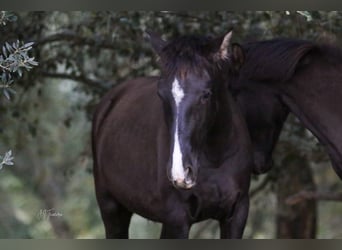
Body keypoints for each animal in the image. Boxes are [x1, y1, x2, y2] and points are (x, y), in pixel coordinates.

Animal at [92, 31, 252, 238]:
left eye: (206, 94)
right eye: (161, 95)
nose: (180, 173)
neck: (216, 160)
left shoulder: (236, 215)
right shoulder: (176, 219)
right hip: (112, 210)